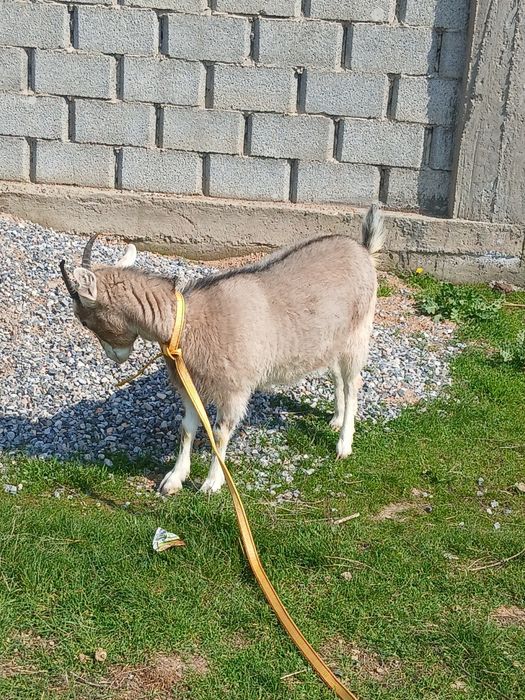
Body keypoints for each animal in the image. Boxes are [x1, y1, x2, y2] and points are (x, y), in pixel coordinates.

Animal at [60, 204, 385, 495]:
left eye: (84, 319)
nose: (114, 357)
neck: (186, 323)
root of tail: (364, 249)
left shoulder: (233, 388)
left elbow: (219, 433)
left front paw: (211, 484)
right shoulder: (189, 384)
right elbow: (186, 428)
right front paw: (174, 479)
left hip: (359, 334)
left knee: (353, 384)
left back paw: (343, 444)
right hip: (333, 340)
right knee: (337, 378)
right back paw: (335, 419)